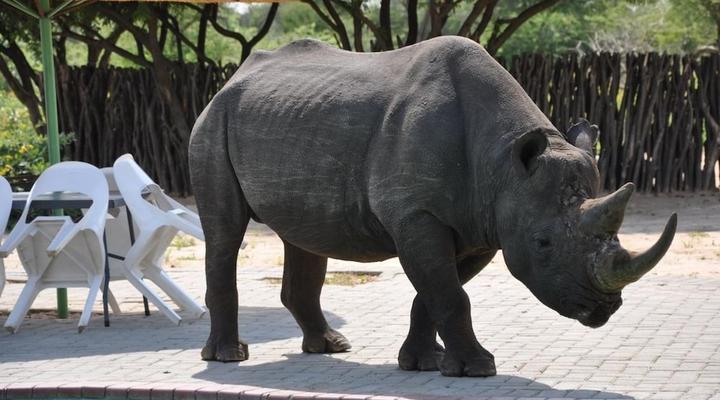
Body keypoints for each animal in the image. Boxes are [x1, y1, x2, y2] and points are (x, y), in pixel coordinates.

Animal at [188, 36, 677, 377]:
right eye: (543, 243)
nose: (603, 309)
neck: (503, 164)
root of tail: (229, 81)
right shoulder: (419, 215)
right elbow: (449, 294)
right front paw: (478, 369)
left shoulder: (483, 224)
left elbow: (435, 292)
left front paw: (424, 363)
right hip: (213, 121)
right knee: (224, 231)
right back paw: (228, 357)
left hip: (285, 121)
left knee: (304, 235)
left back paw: (330, 346)